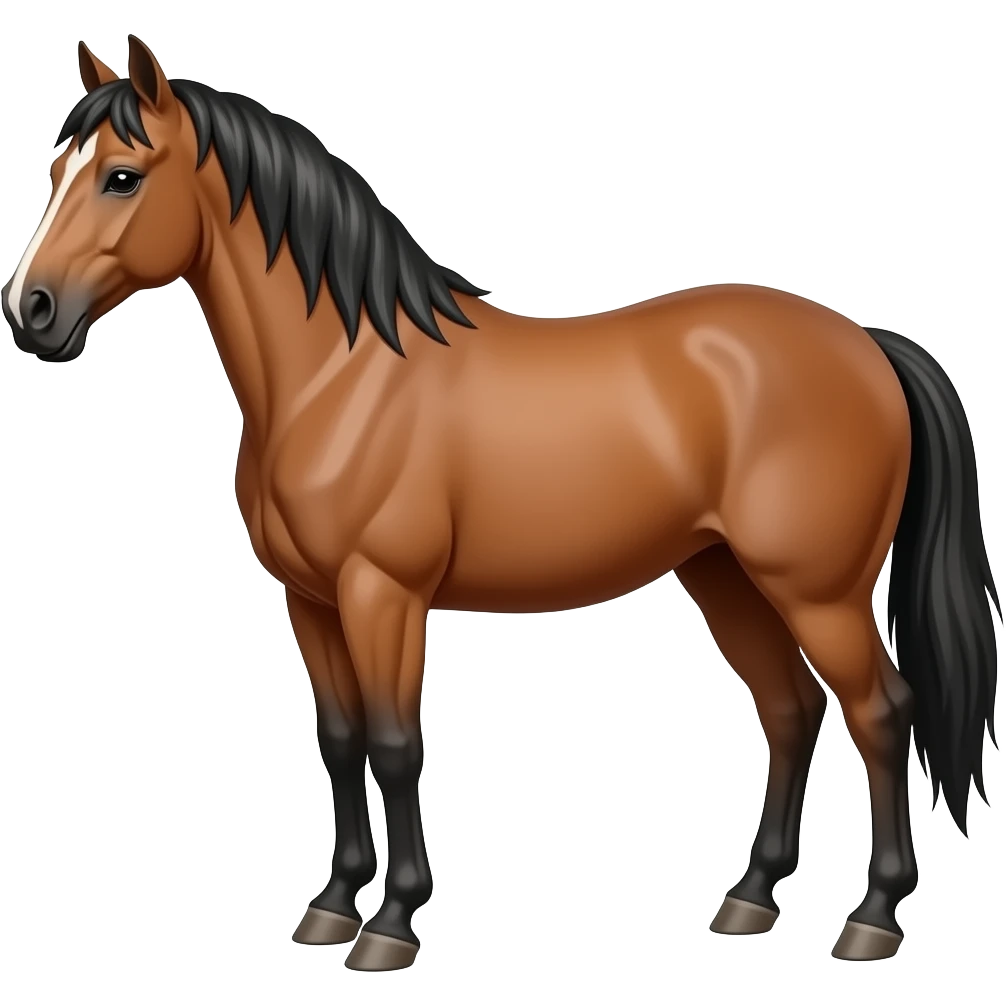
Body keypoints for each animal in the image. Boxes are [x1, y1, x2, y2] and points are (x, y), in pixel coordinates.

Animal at [3, 35, 999, 970]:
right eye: (56, 174)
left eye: (123, 177)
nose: (31, 312)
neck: (341, 375)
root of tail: (865, 344)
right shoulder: (310, 599)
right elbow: (339, 739)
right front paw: (332, 905)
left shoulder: (382, 593)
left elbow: (394, 743)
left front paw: (391, 926)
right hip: (725, 576)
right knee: (790, 711)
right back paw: (750, 898)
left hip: (817, 591)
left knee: (883, 712)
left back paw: (872, 918)